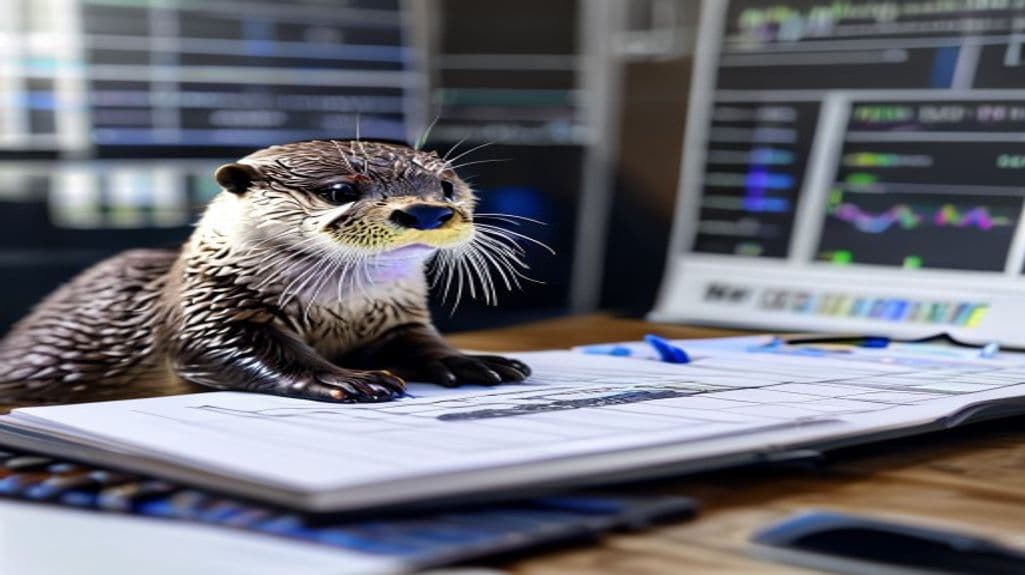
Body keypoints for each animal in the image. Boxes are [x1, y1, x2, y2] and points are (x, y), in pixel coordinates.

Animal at [0, 139, 532, 404]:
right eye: (340, 190)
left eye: (447, 187)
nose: (427, 211)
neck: (340, 310)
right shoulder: (210, 308)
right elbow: (243, 350)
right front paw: (351, 379)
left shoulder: (395, 317)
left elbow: (422, 343)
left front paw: (474, 360)